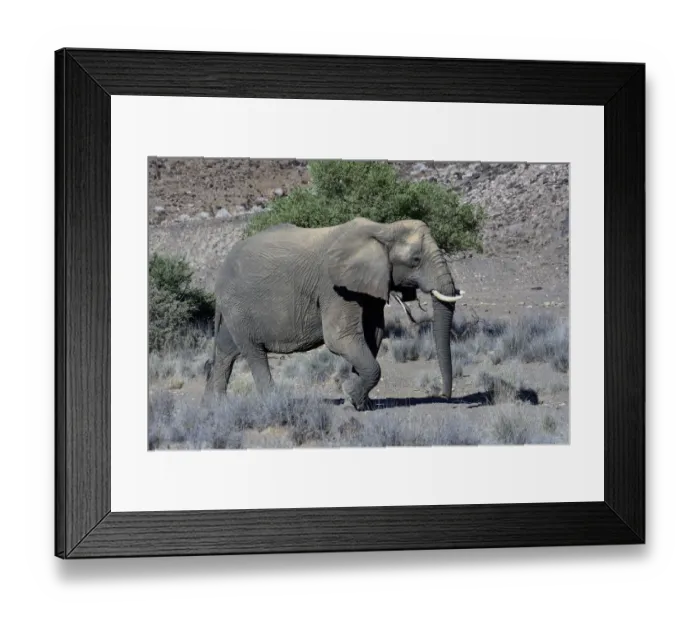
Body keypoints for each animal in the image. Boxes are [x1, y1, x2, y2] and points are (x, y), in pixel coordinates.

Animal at [204, 217, 465, 411]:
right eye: (415, 260)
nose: (446, 397)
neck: (383, 229)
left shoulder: (368, 286)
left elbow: (373, 336)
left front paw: (360, 402)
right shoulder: (334, 287)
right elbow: (339, 339)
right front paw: (350, 395)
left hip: (234, 310)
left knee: (227, 350)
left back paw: (216, 406)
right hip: (238, 305)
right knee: (253, 351)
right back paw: (274, 403)